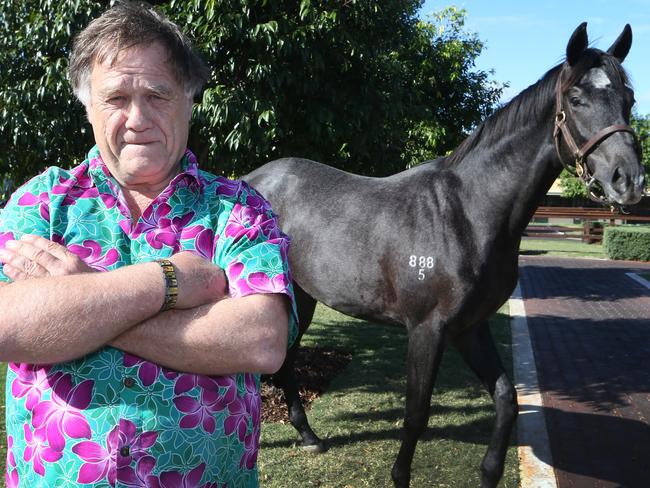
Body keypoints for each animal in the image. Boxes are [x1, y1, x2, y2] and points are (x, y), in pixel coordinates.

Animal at [243, 23, 644, 488]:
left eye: (629, 99)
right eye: (576, 100)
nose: (629, 181)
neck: (467, 212)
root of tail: (248, 179)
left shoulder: (469, 328)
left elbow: (507, 399)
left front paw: (489, 473)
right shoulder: (426, 330)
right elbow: (416, 413)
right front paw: (400, 476)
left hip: (302, 297)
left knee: (285, 358)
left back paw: (308, 435)